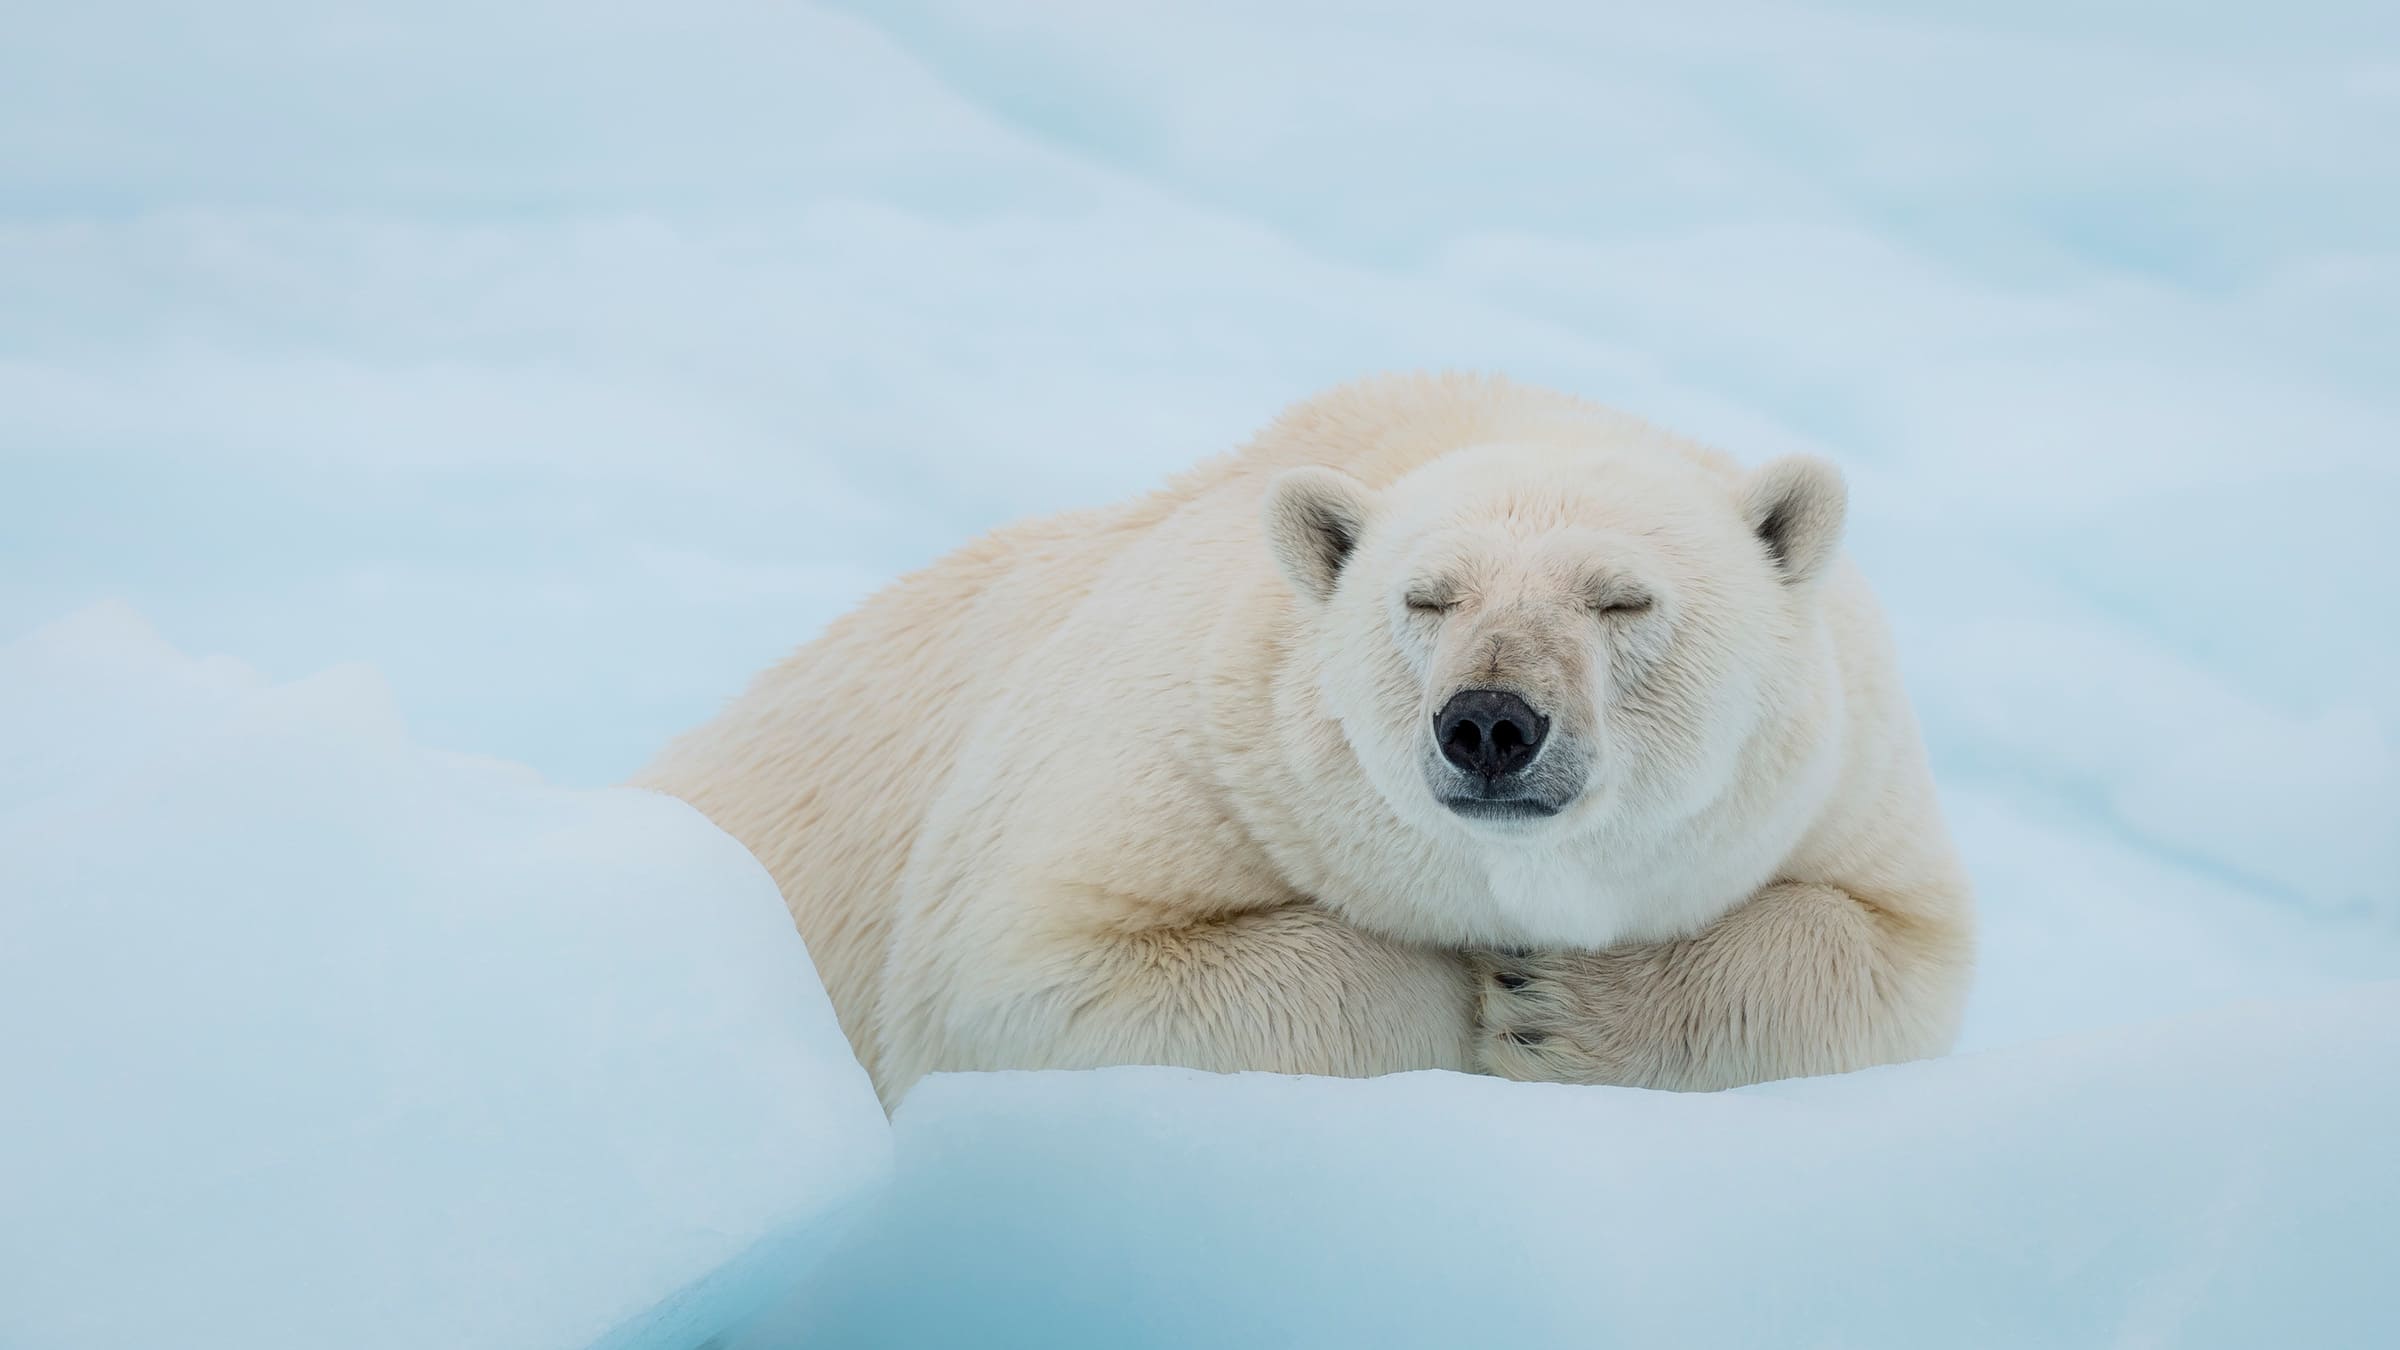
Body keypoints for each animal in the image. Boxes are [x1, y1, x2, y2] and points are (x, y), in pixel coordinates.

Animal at [633, 372, 1968, 1100]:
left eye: (1621, 600)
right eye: (1425, 599)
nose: (1491, 723)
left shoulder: (1849, 772)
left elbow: (1890, 957)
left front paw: (1555, 1006)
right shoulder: (1185, 741)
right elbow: (1023, 977)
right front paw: (1481, 997)